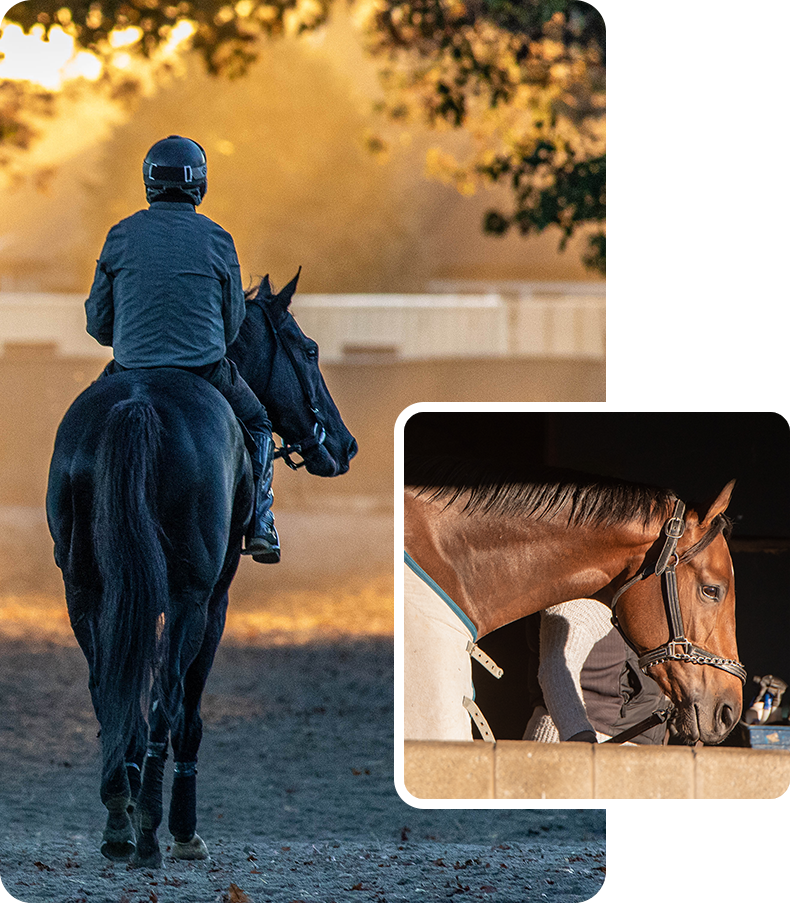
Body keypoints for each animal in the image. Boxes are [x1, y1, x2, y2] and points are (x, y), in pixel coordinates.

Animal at [46, 270, 357, 868]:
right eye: (309, 350)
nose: (345, 444)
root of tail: (137, 406)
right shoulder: (215, 600)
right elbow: (188, 712)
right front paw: (185, 831)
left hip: (84, 591)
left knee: (108, 688)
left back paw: (119, 817)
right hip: (191, 597)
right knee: (168, 698)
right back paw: (149, 830)